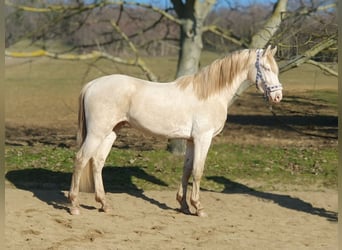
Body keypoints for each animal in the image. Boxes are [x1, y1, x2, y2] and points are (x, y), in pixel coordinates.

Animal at [67, 45, 284, 217]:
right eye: (265, 68)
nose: (277, 97)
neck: (210, 94)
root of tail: (92, 85)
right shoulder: (203, 138)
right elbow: (198, 171)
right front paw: (199, 208)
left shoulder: (191, 140)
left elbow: (187, 170)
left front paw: (184, 205)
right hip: (97, 133)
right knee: (81, 159)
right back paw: (74, 205)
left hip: (110, 132)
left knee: (97, 162)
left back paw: (104, 204)